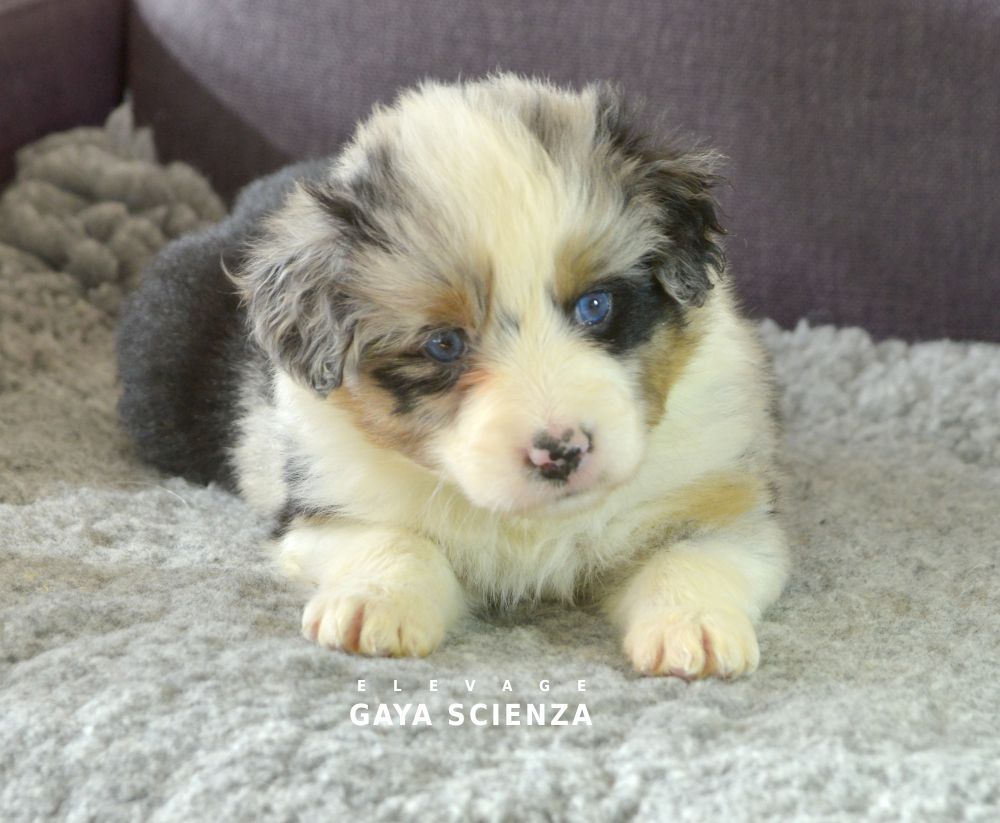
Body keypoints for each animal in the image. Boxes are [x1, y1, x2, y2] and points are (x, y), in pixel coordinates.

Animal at [117, 74, 788, 680]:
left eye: (596, 305)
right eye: (444, 344)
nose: (562, 452)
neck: (528, 524)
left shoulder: (720, 496)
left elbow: (690, 556)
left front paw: (693, 632)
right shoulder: (323, 505)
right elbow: (396, 540)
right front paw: (372, 609)